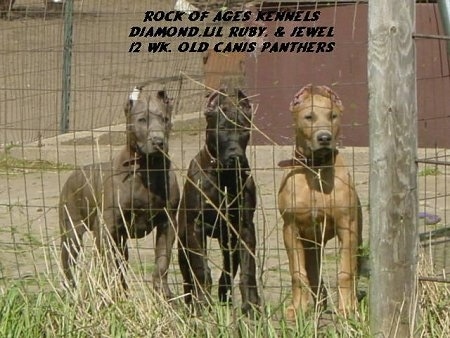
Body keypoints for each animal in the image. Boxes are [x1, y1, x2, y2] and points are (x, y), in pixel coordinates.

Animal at [177, 86, 258, 312]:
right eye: (221, 129)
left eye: (244, 130)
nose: (236, 157)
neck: (224, 177)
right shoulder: (195, 228)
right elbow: (200, 269)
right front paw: (202, 303)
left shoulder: (245, 228)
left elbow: (248, 271)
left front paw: (251, 306)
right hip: (182, 243)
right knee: (188, 275)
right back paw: (190, 302)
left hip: (229, 241)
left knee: (228, 270)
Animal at [278, 84, 362, 320]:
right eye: (309, 117)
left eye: (333, 116)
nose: (324, 137)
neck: (315, 169)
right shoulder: (290, 229)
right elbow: (297, 273)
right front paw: (297, 308)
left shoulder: (347, 227)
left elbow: (345, 271)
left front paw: (347, 308)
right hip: (310, 245)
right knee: (313, 274)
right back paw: (313, 304)